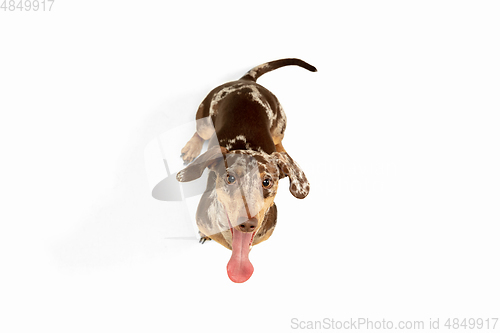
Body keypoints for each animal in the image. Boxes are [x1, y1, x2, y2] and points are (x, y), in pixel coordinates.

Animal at [178, 58, 314, 282]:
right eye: (230, 178)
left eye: (267, 182)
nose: (248, 223)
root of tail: (247, 81)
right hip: (205, 120)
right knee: (199, 133)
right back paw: (191, 148)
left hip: (279, 125)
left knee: (279, 142)